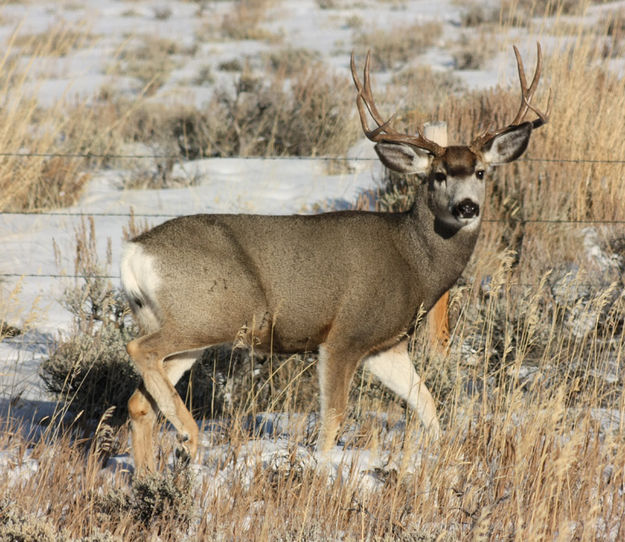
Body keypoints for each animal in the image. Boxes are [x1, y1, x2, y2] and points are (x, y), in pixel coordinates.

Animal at [119, 44, 548, 474]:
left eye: (481, 172)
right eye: (438, 174)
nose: (466, 207)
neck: (414, 261)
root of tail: (134, 253)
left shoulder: (385, 346)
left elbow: (427, 404)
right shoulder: (344, 335)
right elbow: (334, 418)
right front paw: (322, 469)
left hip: (189, 327)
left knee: (139, 402)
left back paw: (150, 474)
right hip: (209, 314)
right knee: (139, 350)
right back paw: (188, 435)